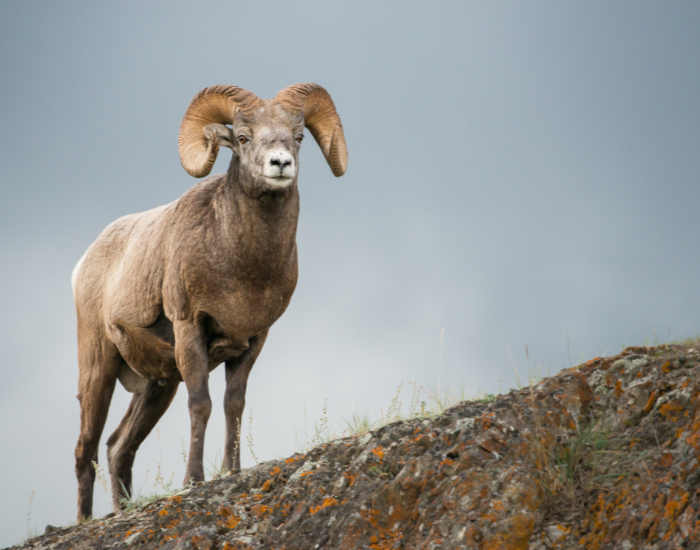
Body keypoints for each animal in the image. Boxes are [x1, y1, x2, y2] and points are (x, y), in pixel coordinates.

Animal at [72, 83, 347, 520]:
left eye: (299, 137)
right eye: (243, 137)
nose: (280, 164)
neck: (242, 267)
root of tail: (83, 264)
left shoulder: (252, 341)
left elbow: (234, 403)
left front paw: (231, 471)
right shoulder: (191, 331)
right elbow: (201, 404)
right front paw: (194, 481)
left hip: (158, 385)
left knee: (119, 448)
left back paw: (121, 510)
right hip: (98, 366)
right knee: (87, 448)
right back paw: (85, 521)